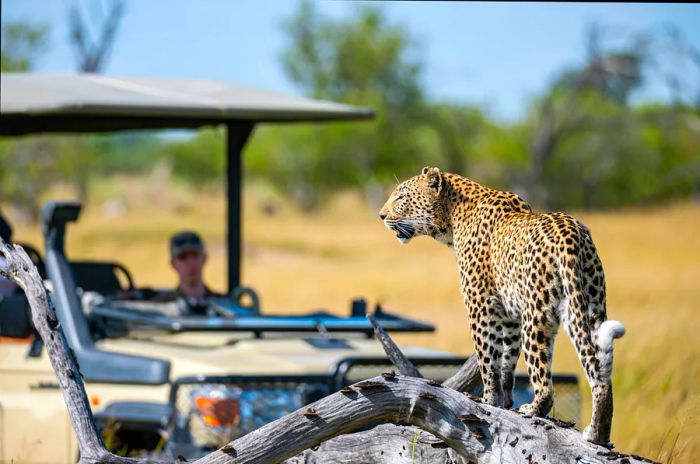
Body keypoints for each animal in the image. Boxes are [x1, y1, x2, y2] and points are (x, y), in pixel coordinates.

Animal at [380, 167, 628, 446]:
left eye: (401, 197)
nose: (381, 215)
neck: (452, 215)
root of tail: (571, 233)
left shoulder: (479, 306)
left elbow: (487, 359)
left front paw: (488, 401)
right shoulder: (510, 316)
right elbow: (507, 364)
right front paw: (505, 403)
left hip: (537, 317)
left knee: (544, 381)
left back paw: (534, 409)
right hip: (590, 307)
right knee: (599, 372)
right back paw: (597, 434)